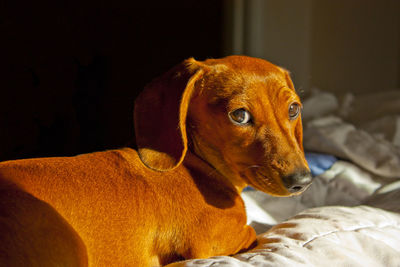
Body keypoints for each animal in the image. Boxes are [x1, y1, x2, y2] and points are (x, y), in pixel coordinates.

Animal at [0, 55, 310, 266]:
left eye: (293, 109)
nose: (302, 181)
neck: (196, 164)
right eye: (239, 115)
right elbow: (258, 230)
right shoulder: (223, 241)